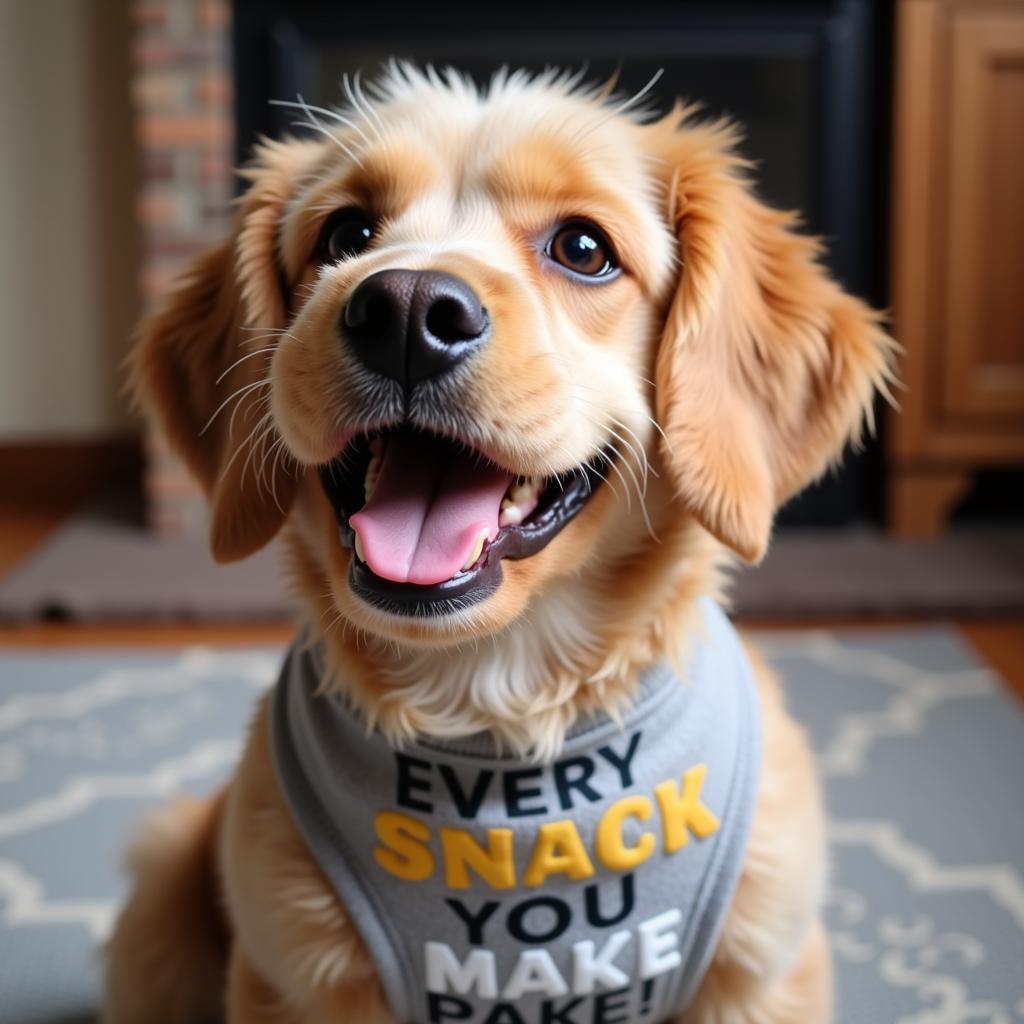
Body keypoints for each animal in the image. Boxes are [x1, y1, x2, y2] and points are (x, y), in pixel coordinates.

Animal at [101, 66, 888, 1024]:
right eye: (347, 233)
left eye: (583, 248)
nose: (404, 308)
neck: (496, 712)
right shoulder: (289, 978)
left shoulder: (763, 974)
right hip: (161, 897)